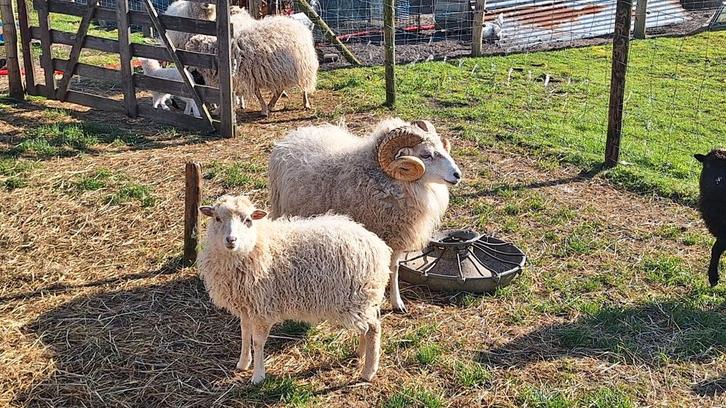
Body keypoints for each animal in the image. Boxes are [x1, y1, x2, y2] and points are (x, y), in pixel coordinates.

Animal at [186, 12, 317, 117]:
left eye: (190, 50)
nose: (186, 67)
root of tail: (299, 25)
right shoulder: (246, 76)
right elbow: (251, 93)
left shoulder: (245, 74)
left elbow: (253, 93)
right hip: (281, 71)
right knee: (280, 89)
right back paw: (271, 105)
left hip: (301, 66)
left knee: (303, 87)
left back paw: (306, 103)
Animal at [197, 195, 391, 384]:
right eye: (217, 218)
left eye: (248, 220)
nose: (231, 240)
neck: (259, 244)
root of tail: (379, 246)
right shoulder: (246, 306)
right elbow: (245, 333)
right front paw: (243, 363)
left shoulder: (263, 309)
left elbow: (258, 342)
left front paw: (258, 376)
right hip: (363, 301)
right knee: (365, 328)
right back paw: (361, 353)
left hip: (358, 298)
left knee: (374, 329)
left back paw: (368, 371)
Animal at [268, 118, 462, 313]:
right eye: (426, 155)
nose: (457, 175)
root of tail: (297, 132)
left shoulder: (396, 237)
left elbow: (394, 269)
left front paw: (397, 303)